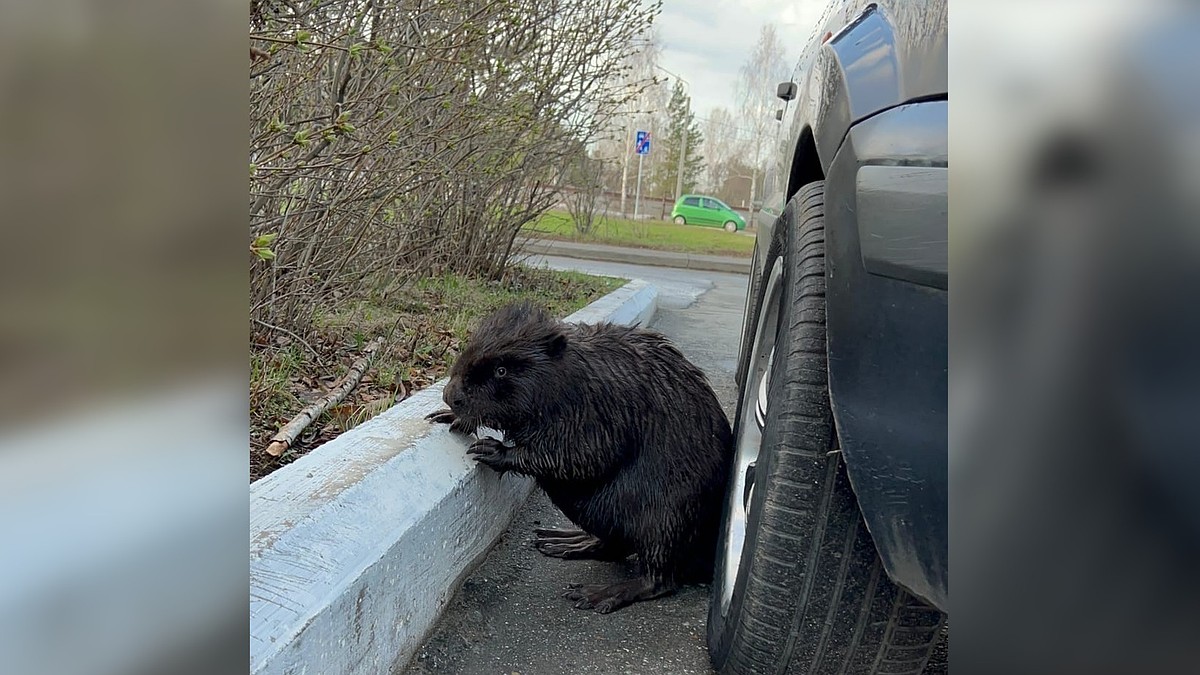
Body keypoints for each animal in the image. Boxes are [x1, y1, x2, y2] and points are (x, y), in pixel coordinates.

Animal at [427, 299, 734, 610]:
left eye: (501, 370)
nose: (451, 396)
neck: (569, 372)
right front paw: (448, 417)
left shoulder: (599, 405)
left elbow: (584, 456)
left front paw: (492, 449)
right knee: (614, 546)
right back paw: (564, 541)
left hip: (666, 519)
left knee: (659, 578)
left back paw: (596, 593)